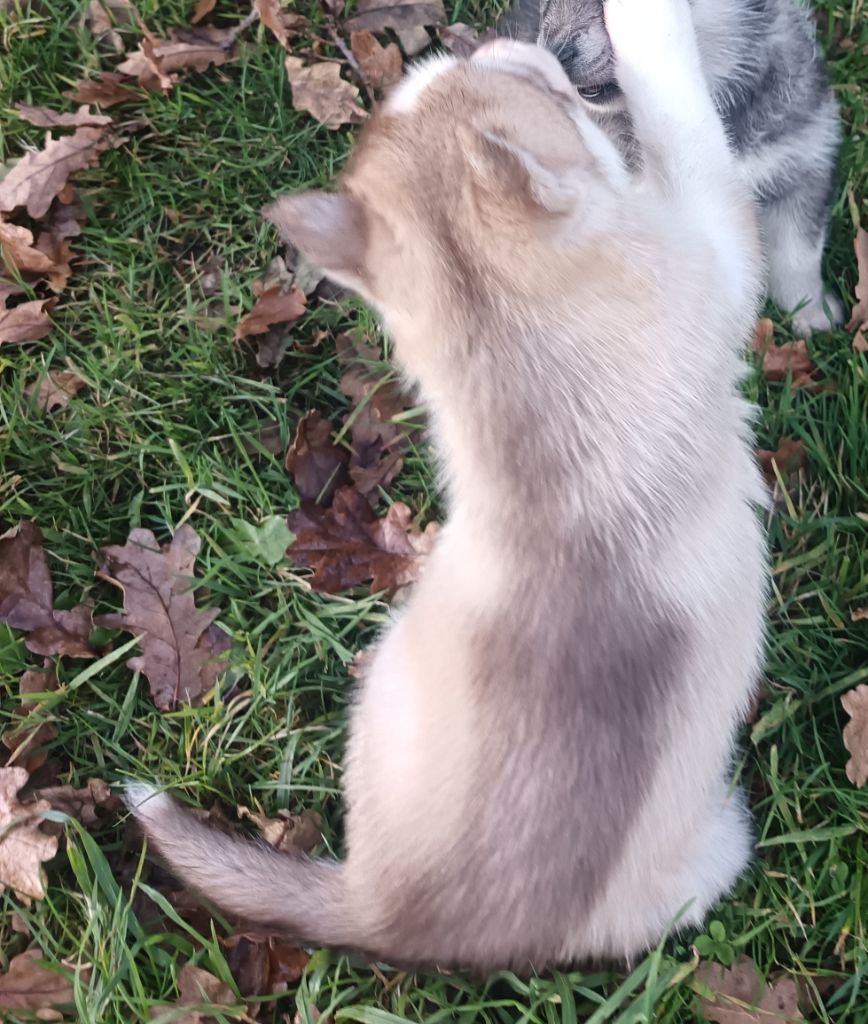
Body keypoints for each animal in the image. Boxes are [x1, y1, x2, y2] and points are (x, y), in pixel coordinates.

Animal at [127, 0, 768, 971]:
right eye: (547, 93)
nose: (506, 44)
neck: (513, 346)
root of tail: (389, 917)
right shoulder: (714, 240)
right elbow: (677, 109)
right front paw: (647, 19)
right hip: (720, 847)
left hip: (379, 682)